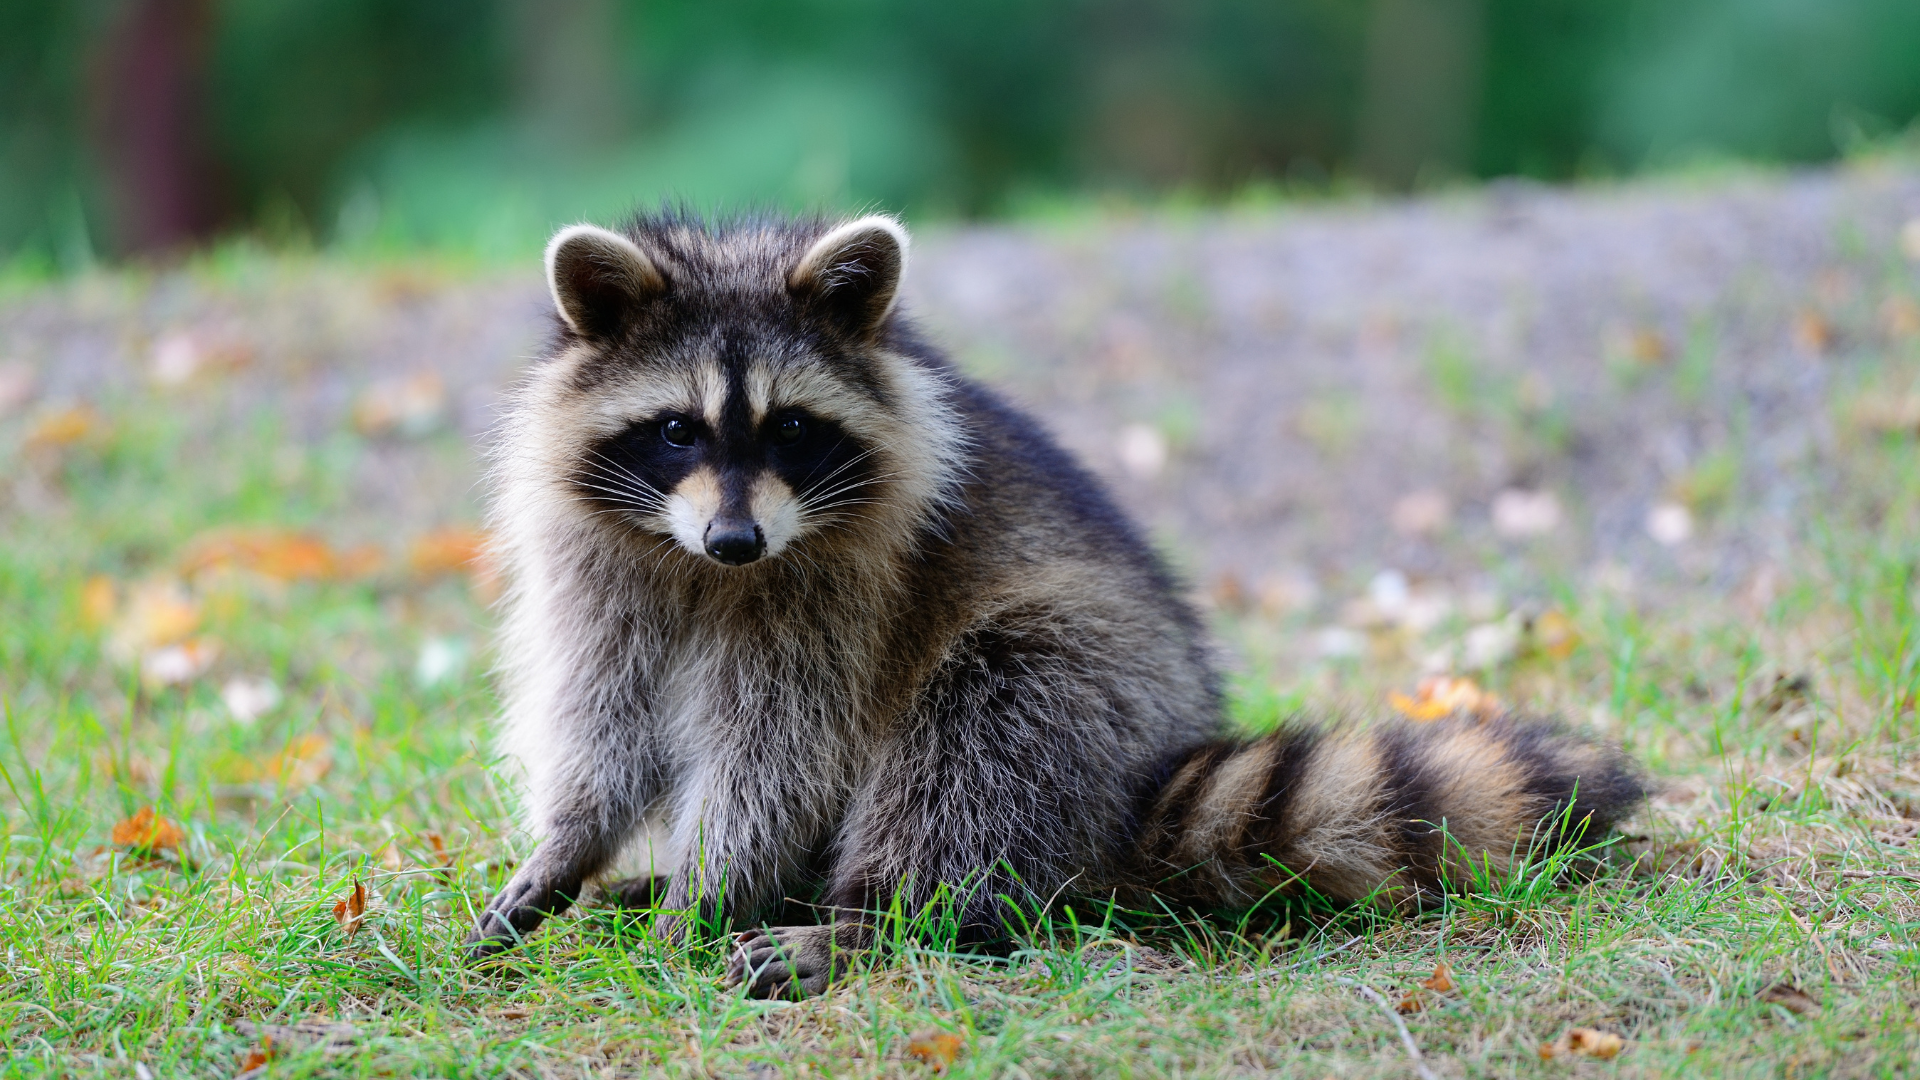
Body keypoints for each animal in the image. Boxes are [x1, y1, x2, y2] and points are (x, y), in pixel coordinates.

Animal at [472, 210, 1643, 991]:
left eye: (792, 429)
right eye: (677, 430)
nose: (735, 539)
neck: (705, 569)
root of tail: (1151, 775)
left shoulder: (843, 589)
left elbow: (778, 750)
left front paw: (713, 889)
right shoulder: (601, 565)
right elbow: (604, 716)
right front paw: (573, 846)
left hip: (1083, 683)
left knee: (980, 739)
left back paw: (870, 918)